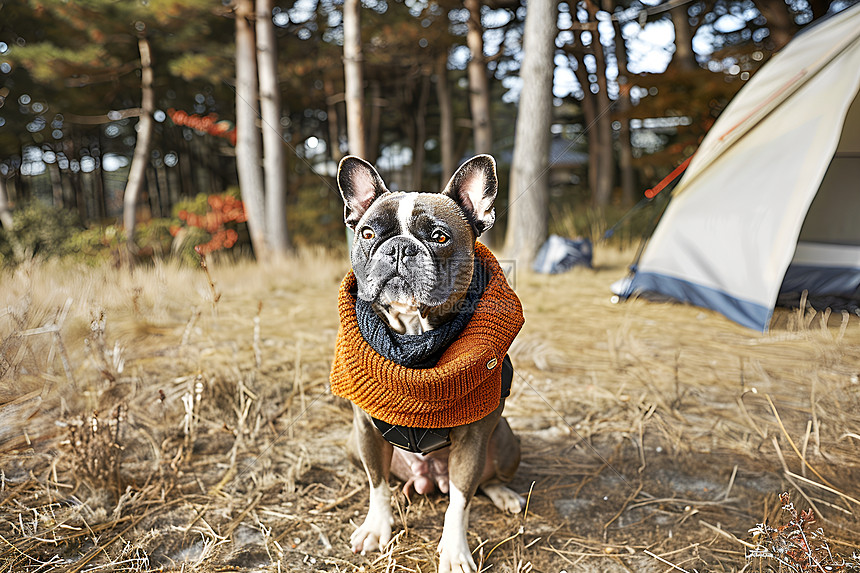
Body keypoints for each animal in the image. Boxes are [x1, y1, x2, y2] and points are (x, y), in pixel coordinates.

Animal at [330, 154, 524, 568]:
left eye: (439, 237)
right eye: (367, 234)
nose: (400, 248)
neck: (415, 335)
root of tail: (430, 478)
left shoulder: (472, 439)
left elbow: (461, 500)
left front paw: (454, 551)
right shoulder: (366, 430)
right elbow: (377, 484)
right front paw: (376, 528)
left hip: (505, 441)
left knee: (482, 482)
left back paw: (503, 493)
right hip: (353, 444)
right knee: (388, 479)